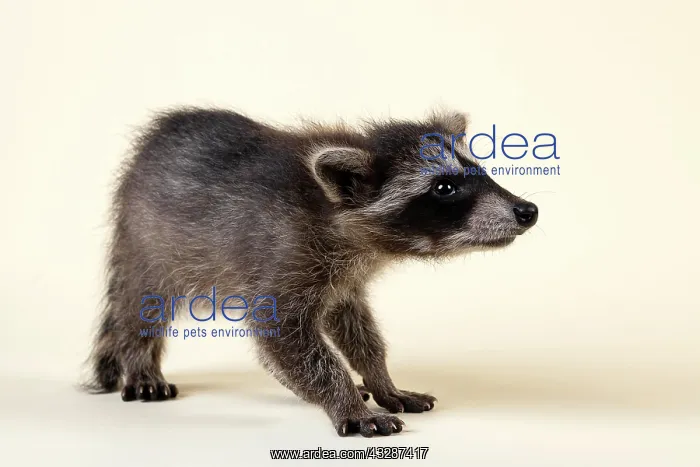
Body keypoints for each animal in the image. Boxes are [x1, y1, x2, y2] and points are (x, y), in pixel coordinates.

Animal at [86, 107, 538, 437]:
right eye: (444, 188)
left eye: (480, 171)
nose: (527, 211)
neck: (341, 221)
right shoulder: (285, 251)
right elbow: (286, 337)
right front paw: (343, 399)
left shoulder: (343, 275)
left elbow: (355, 327)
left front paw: (380, 380)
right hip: (150, 242)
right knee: (141, 305)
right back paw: (139, 361)